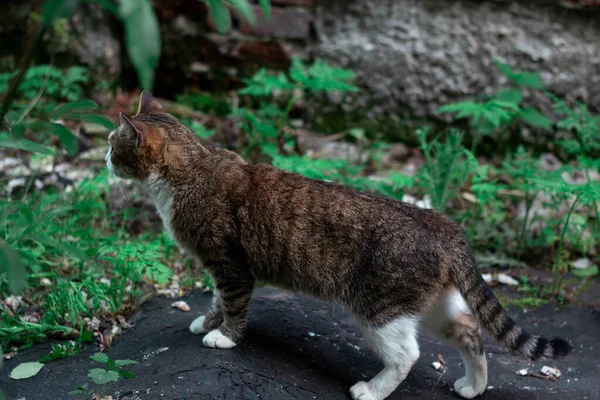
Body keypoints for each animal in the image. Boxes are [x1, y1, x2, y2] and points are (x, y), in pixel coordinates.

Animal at [106, 92, 572, 400]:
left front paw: (224, 338)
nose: (105, 160)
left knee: (408, 353)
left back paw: (372, 389)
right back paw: (474, 386)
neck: (194, 168)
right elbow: (218, 301)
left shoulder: (231, 265)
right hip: (432, 303)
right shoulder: (220, 269)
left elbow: (235, 306)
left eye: (114, 144)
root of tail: (439, 222)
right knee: (470, 331)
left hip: (379, 307)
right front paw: (207, 322)